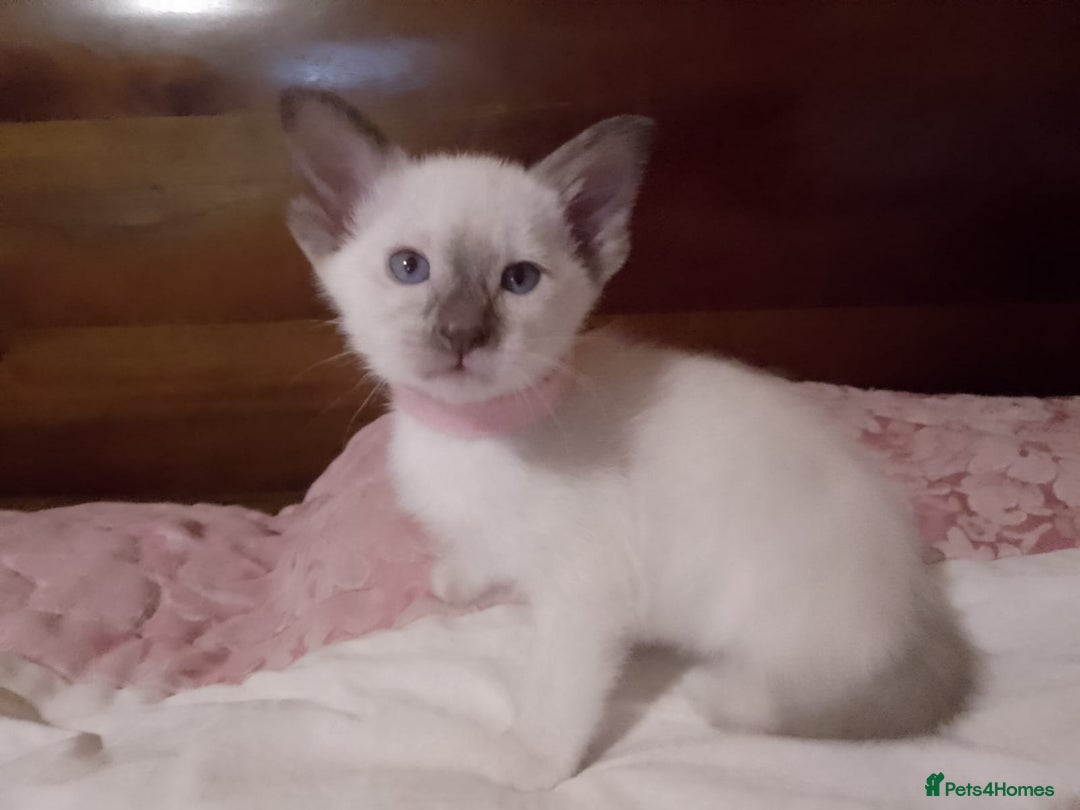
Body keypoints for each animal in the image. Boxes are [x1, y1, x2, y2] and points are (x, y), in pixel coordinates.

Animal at [280, 87, 975, 791]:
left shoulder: (587, 594)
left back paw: (728, 694)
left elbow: (555, 705)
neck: (476, 433)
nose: (461, 333)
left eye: (519, 280)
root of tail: (918, 591)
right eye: (408, 268)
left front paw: (528, 766)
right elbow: (485, 549)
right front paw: (461, 578)